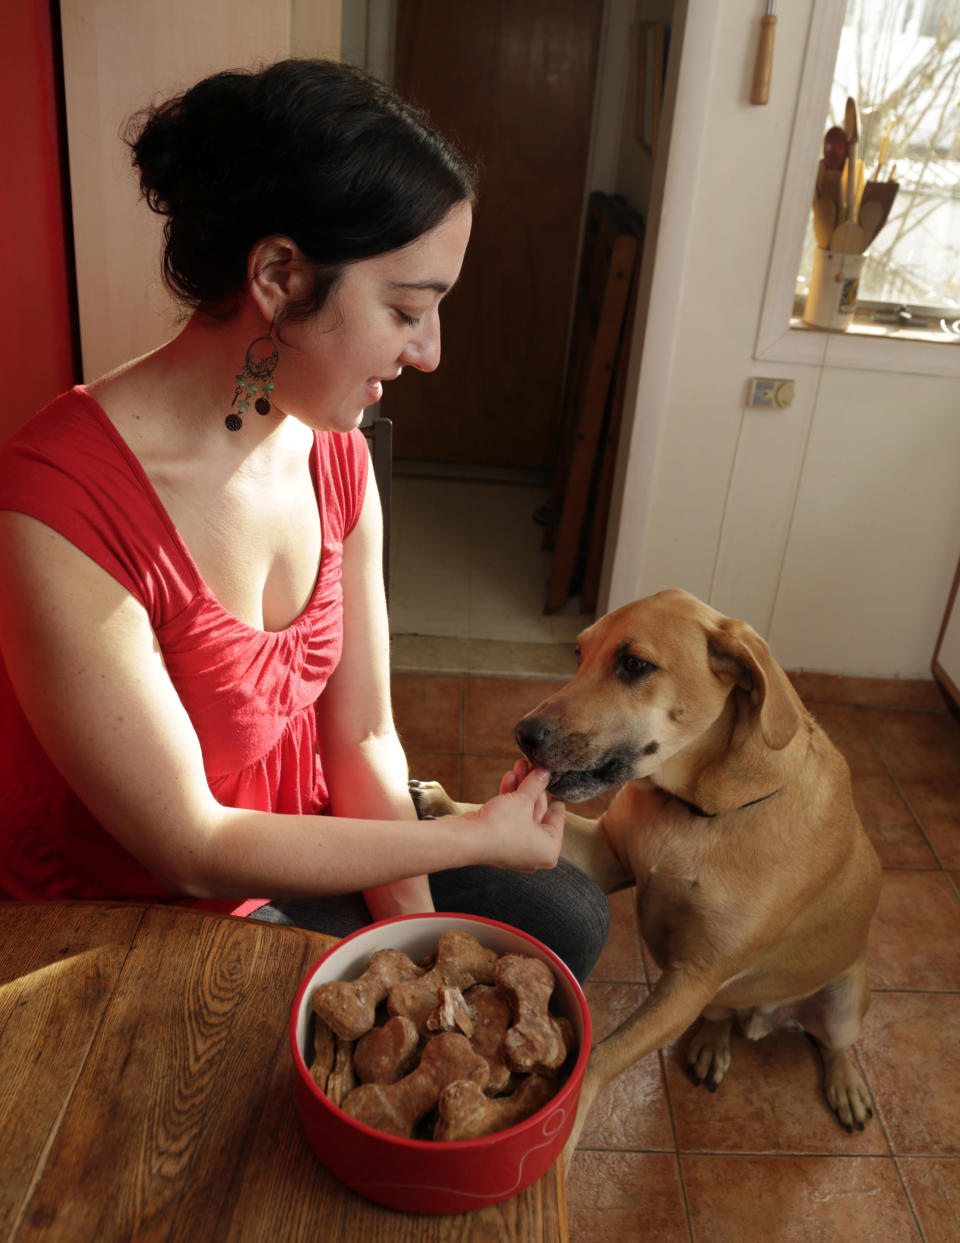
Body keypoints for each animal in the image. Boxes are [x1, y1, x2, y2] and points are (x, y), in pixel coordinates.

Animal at [407, 586, 880, 1158]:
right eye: (579, 654)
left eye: (634, 664)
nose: (522, 734)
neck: (700, 810)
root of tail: (765, 1019)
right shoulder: (607, 853)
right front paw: (447, 805)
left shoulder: (693, 980)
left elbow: (600, 1058)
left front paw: (564, 1128)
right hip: (725, 1002)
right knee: (723, 1019)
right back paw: (713, 1046)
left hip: (843, 1001)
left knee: (835, 1045)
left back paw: (847, 1085)